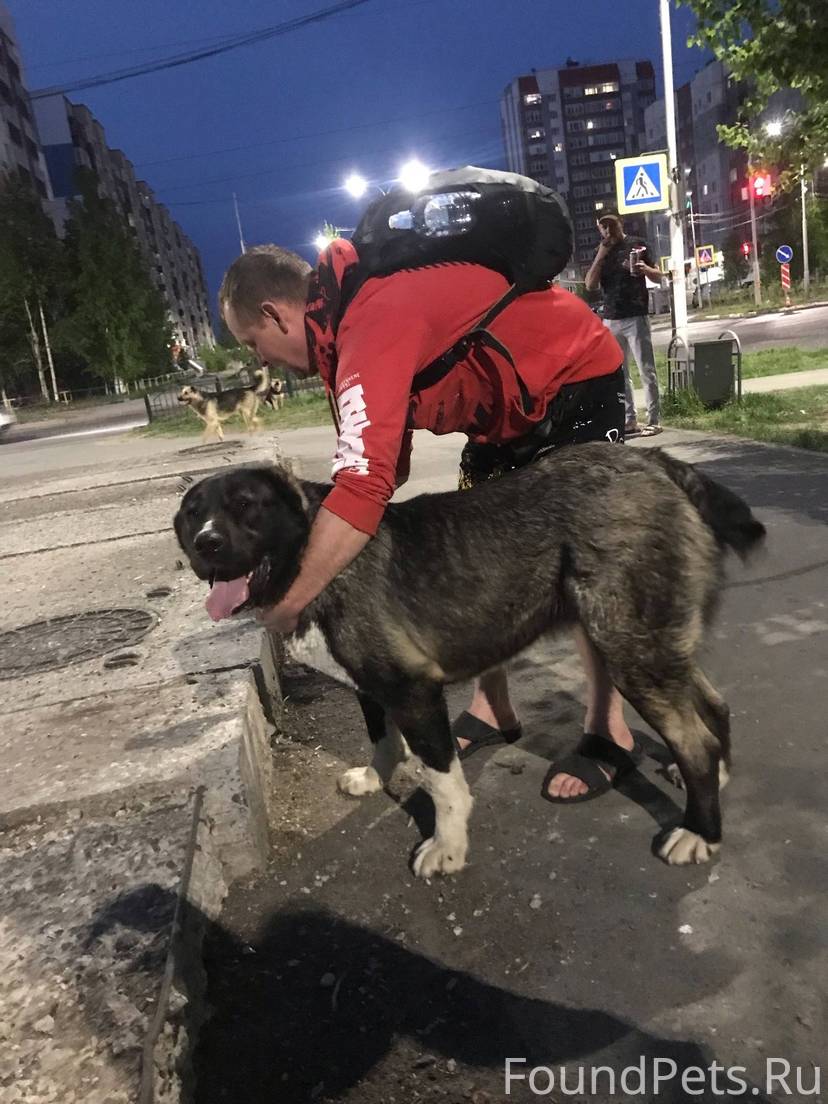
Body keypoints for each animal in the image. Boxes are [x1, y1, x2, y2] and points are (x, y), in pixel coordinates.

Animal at [173, 445, 765, 878]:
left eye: (247, 504)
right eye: (192, 516)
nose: (207, 544)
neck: (315, 552)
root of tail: (659, 462)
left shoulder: (414, 692)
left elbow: (443, 783)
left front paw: (448, 847)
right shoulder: (374, 688)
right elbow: (383, 740)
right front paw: (375, 778)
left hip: (628, 648)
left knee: (695, 738)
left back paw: (700, 831)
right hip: (652, 645)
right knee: (714, 706)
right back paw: (719, 777)